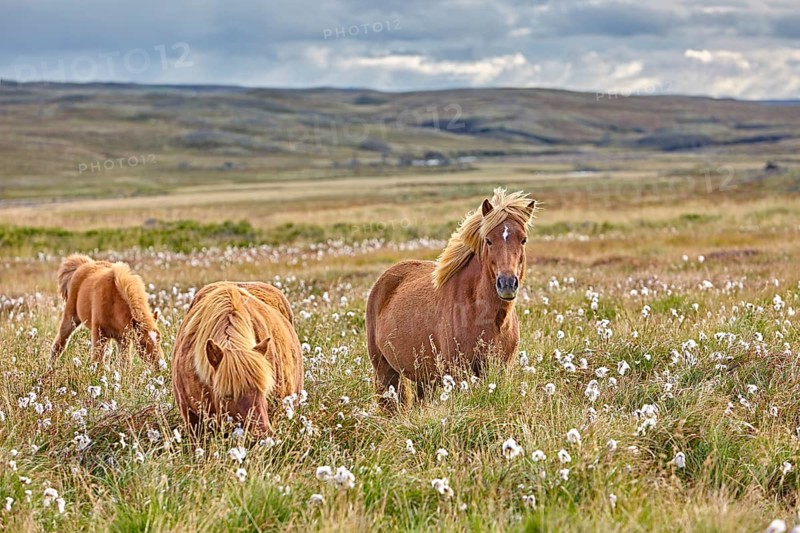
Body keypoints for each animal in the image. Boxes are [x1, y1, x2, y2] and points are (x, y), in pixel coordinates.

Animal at [366, 188, 537, 410]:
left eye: (523, 239)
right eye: (489, 240)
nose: (507, 283)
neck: (485, 316)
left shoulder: (500, 369)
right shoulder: (458, 372)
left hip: (423, 378)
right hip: (384, 371)